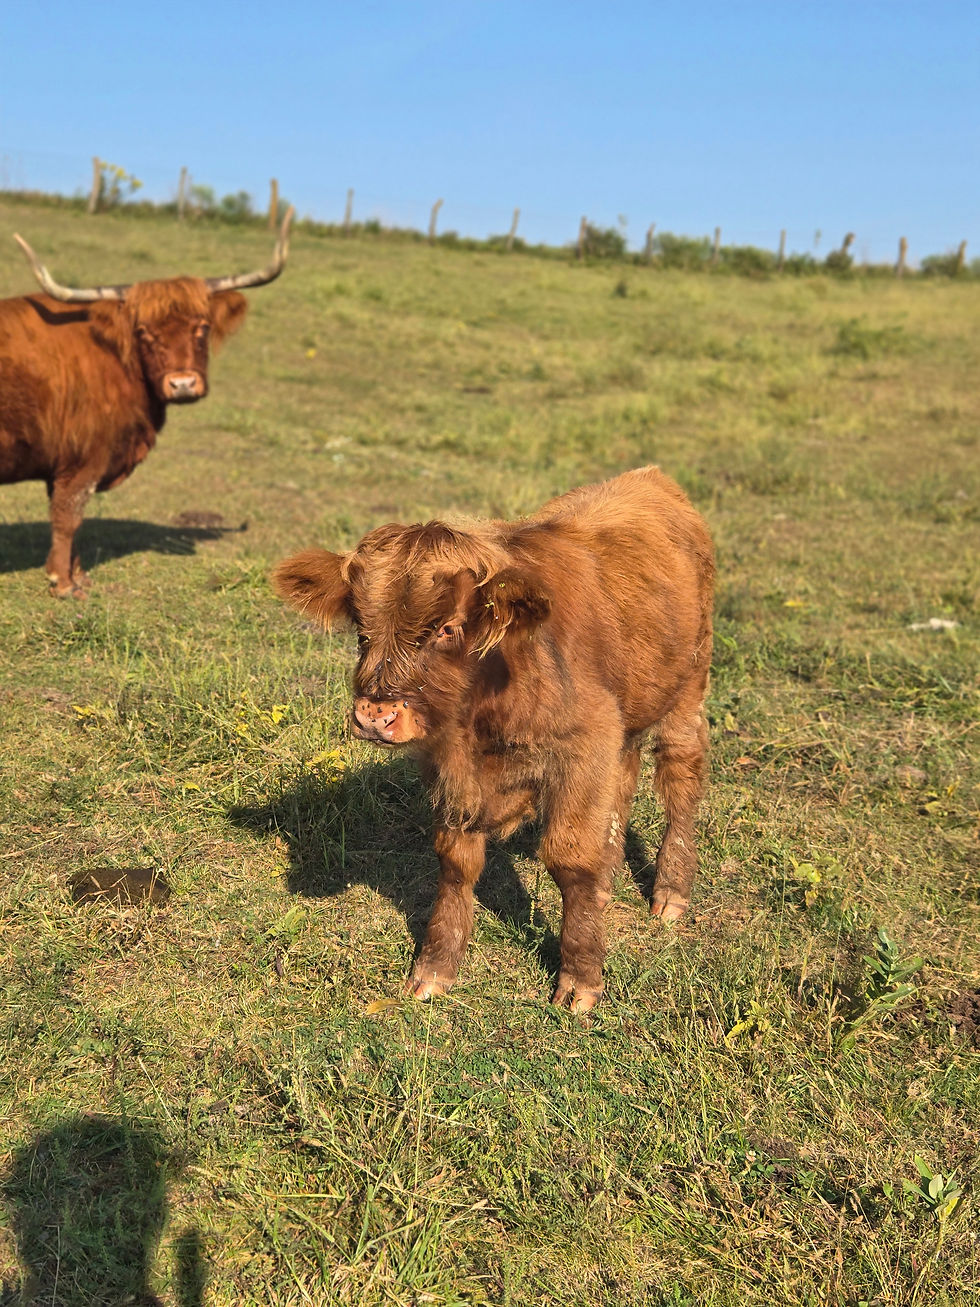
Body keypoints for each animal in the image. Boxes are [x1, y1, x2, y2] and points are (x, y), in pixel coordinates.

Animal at [0, 209, 293, 596]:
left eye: (202, 327)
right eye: (143, 332)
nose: (182, 384)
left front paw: (77, 574)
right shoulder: (83, 461)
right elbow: (68, 518)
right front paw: (62, 583)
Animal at [274, 466, 714, 1012]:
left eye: (447, 628)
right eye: (361, 627)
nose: (375, 716)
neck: (484, 714)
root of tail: (650, 477)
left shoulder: (585, 742)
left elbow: (570, 857)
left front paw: (581, 977)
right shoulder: (451, 768)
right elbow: (455, 860)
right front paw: (436, 966)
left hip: (688, 687)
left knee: (680, 777)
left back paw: (671, 890)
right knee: (624, 778)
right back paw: (607, 884)